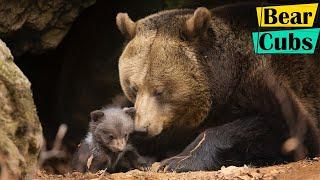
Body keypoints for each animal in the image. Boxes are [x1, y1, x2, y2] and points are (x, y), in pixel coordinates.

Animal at [115, 2, 320, 172]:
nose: (142, 128)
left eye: (159, 90)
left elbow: (287, 126)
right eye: (133, 87)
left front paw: (177, 161)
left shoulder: (267, 78)